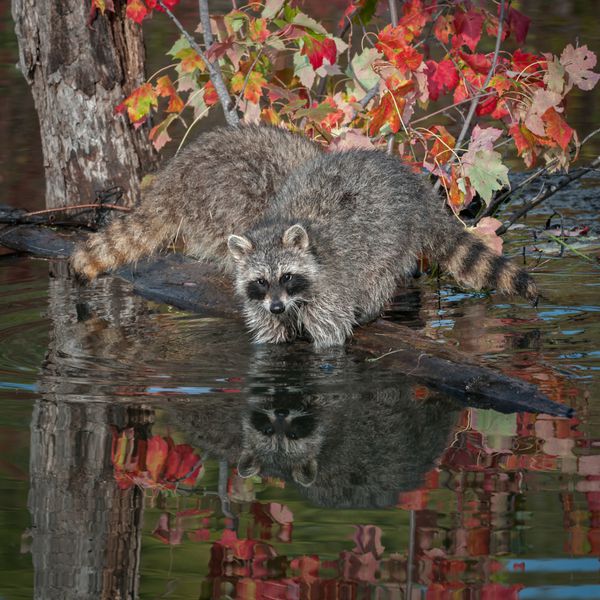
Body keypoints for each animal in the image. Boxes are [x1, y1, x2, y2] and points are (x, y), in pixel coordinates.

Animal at [227, 148, 536, 350]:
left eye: (287, 276)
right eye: (261, 280)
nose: (277, 307)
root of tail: (416, 186)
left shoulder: (329, 286)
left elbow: (330, 334)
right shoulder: (261, 301)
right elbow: (269, 333)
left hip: (392, 233)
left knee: (379, 274)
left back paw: (369, 309)